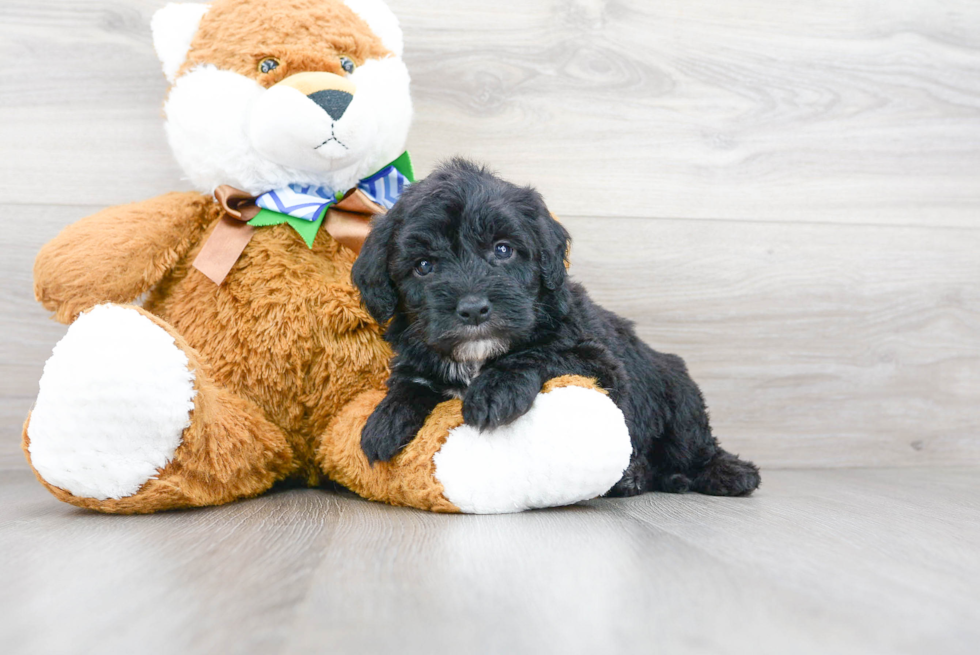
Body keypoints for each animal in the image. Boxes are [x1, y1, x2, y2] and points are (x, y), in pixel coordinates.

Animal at [348, 159, 760, 498]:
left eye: (502, 249)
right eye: (423, 266)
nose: (473, 308)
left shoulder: (600, 362)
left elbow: (539, 353)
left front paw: (496, 390)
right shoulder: (416, 360)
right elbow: (412, 383)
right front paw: (385, 420)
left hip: (679, 397)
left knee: (694, 446)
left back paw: (728, 473)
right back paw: (640, 477)